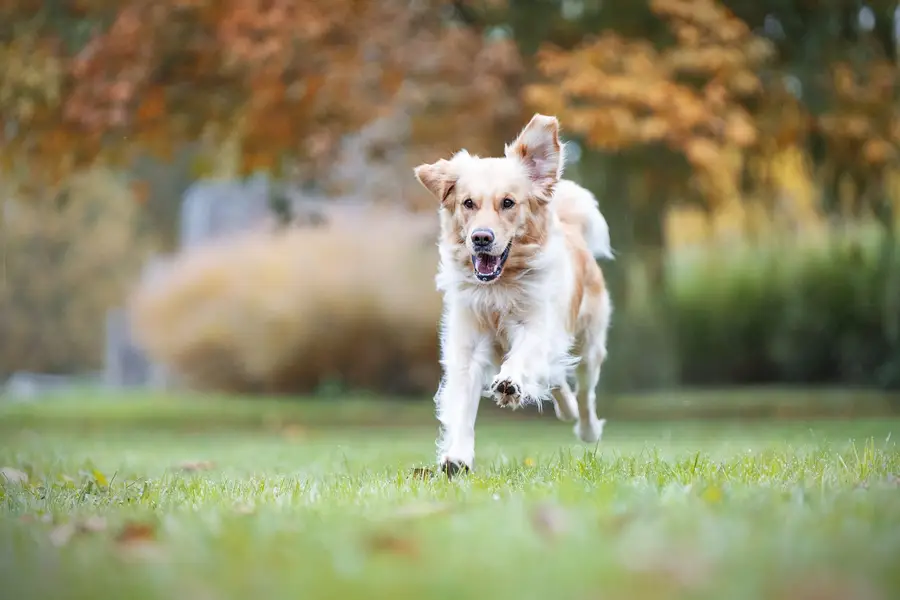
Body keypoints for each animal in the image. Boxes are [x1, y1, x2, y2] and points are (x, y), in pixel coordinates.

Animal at [414, 113, 612, 478]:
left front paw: (510, 383)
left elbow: (524, 357)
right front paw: (457, 457)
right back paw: (565, 408)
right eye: (468, 203)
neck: (499, 287)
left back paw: (586, 428)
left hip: (590, 342)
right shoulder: (467, 346)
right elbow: (461, 406)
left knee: (585, 390)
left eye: (508, 203)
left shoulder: (539, 326)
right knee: (557, 378)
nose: (481, 238)